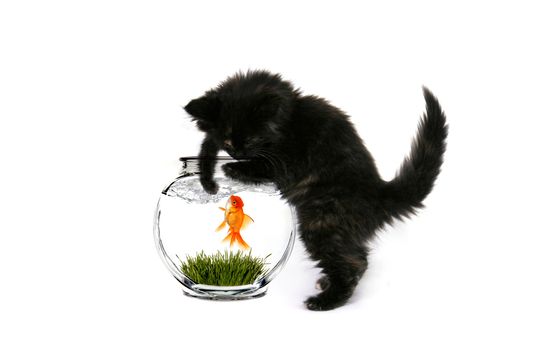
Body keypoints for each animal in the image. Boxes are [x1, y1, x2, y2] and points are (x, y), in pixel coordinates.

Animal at [184, 69, 448, 310]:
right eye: (228, 141)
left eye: (251, 139)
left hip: (320, 222)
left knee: (353, 264)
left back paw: (324, 301)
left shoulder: (284, 162)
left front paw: (231, 169)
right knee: (359, 258)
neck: (290, 119)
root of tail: (378, 193)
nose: (237, 153)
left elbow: (262, 165)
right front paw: (210, 175)